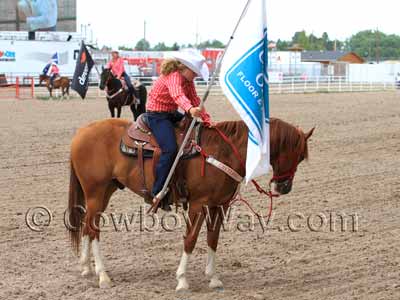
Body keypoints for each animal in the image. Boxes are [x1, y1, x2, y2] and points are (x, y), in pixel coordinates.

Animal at [67, 117, 314, 290]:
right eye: (297, 155)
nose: (284, 187)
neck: (223, 152)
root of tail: (81, 133)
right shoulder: (199, 205)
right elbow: (191, 239)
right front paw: (182, 280)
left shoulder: (219, 205)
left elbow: (213, 239)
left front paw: (214, 278)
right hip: (95, 192)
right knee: (94, 229)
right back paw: (103, 275)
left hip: (104, 192)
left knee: (87, 226)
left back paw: (86, 268)